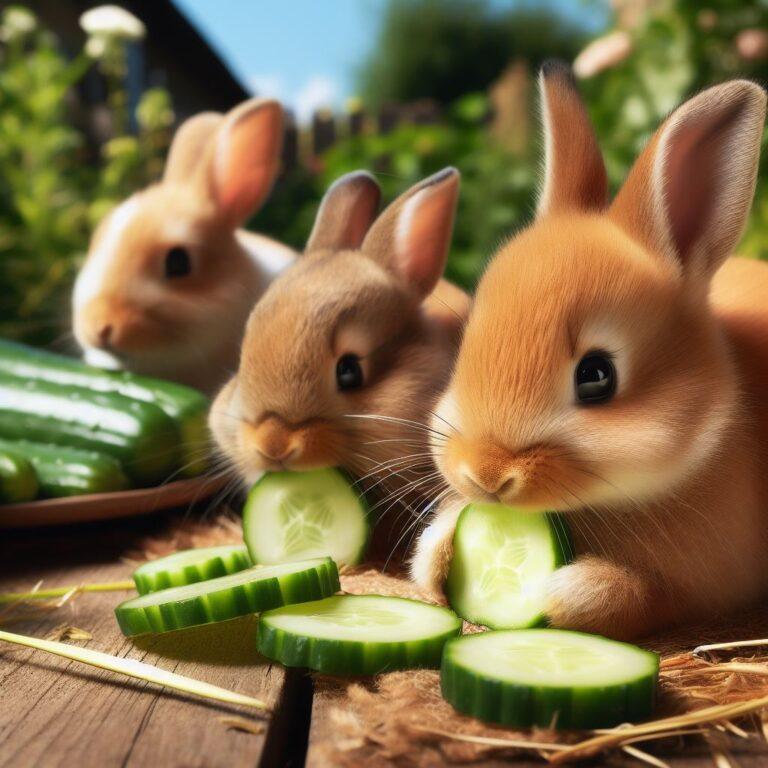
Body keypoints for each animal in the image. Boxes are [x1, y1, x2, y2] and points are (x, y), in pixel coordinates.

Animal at [412, 60, 768, 640]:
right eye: (467, 341)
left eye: (597, 375)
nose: (484, 475)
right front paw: (438, 553)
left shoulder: (691, 587)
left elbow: (636, 596)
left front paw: (561, 593)